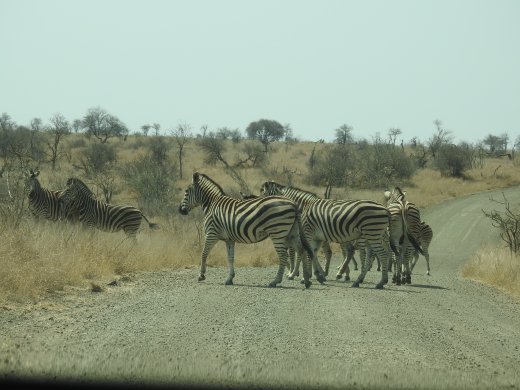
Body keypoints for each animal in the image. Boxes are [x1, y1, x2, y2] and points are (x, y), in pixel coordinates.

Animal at [179, 172, 314, 288]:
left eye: (186, 191)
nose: (180, 210)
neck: (212, 204)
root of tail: (293, 204)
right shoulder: (229, 239)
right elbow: (230, 258)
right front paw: (230, 278)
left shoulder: (212, 233)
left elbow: (203, 253)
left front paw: (201, 275)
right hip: (292, 232)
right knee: (301, 250)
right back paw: (306, 280)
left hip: (278, 232)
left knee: (283, 255)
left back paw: (275, 281)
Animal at [260, 181, 398, 288]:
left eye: (263, 193)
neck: (304, 207)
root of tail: (386, 209)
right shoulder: (317, 237)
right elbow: (313, 254)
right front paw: (317, 275)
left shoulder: (307, 233)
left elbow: (306, 253)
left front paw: (301, 276)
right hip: (373, 234)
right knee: (372, 255)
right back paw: (358, 279)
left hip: (371, 233)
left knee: (380, 254)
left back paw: (379, 282)